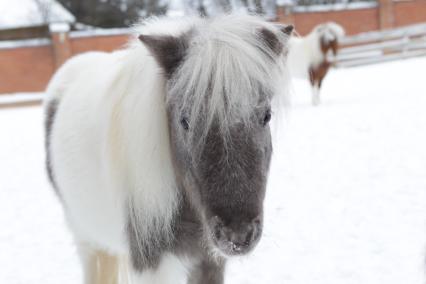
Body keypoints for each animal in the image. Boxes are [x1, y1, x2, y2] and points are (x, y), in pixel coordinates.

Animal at [45, 14, 292, 282]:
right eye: (184, 121)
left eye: (266, 115)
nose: (237, 235)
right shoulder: (152, 264)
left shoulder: (210, 260)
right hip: (86, 239)